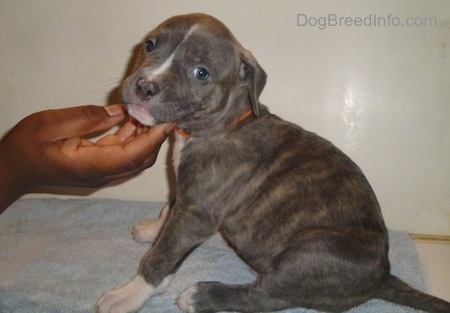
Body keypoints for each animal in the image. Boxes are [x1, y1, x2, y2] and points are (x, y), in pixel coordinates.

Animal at [96, 12, 450, 312]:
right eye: (149, 45)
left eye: (201, 73)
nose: (144, 87)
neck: (222, 124)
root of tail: (382, 276)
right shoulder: (190, 198)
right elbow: (169, 214)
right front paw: (156, 228)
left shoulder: (198, 210)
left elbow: (163, 255)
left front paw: (128, 294)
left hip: (317, 248)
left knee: (267, 295)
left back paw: (203, 296)